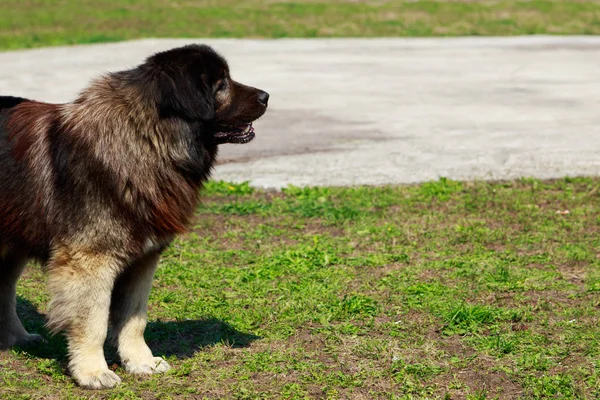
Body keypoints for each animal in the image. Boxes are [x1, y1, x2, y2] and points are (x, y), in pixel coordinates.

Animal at [0, 43, 270, 388]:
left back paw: (17, 338)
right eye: (219, 83)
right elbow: (93, 322)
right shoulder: (90, 260)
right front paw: (93, 372)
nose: (266, 96)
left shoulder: (143, 258)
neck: (145, 141)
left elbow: (134, 318)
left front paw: (141, 362)